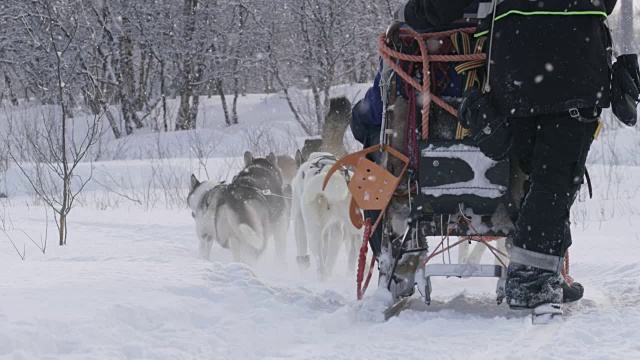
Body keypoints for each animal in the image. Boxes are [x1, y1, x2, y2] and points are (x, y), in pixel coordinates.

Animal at [292, 149, 362, 278]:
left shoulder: (298, 216)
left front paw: (302, 266)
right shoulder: (334, 226)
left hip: (313, 225)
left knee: (318, 252)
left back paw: (322, 275)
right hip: (351, 227)